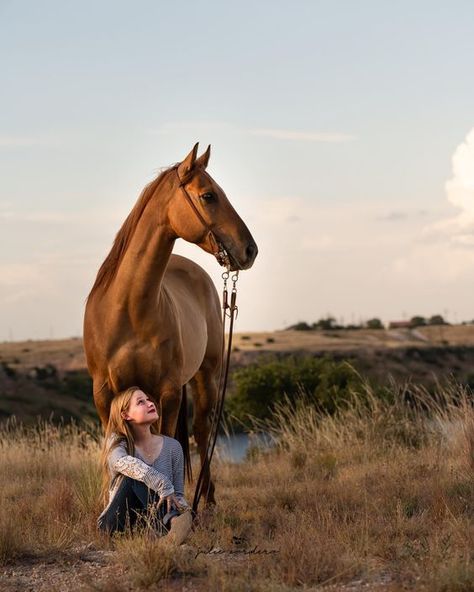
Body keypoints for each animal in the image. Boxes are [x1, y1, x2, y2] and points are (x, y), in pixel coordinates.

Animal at [83, 142, 258, 504]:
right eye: (208, 195)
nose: (250, 250)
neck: (128, 309)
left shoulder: (168, 392)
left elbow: (168, 443)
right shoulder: (104, 394)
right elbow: (115, 444)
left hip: (206, 377)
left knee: (202, 431)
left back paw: (207, 498)